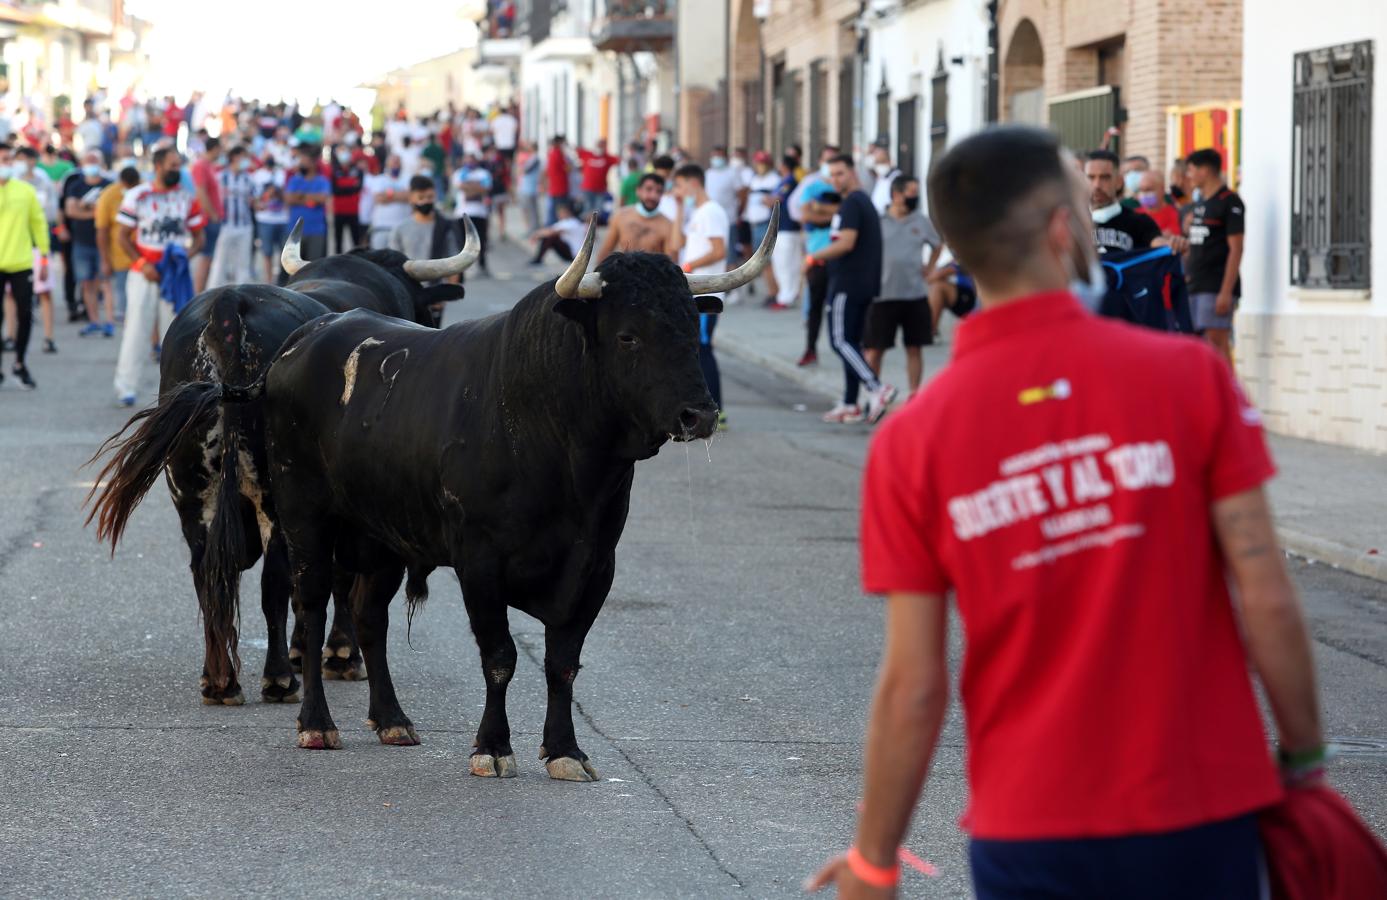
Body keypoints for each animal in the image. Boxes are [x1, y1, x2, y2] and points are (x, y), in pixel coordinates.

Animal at [86, 223, 479, 701]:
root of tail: (227, 307)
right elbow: (333, 579)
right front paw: (339, 653)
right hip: (273, 494)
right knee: (273, 580)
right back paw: (277, 677)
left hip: (190, 489)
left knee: (207, 572)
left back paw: (219, 679)